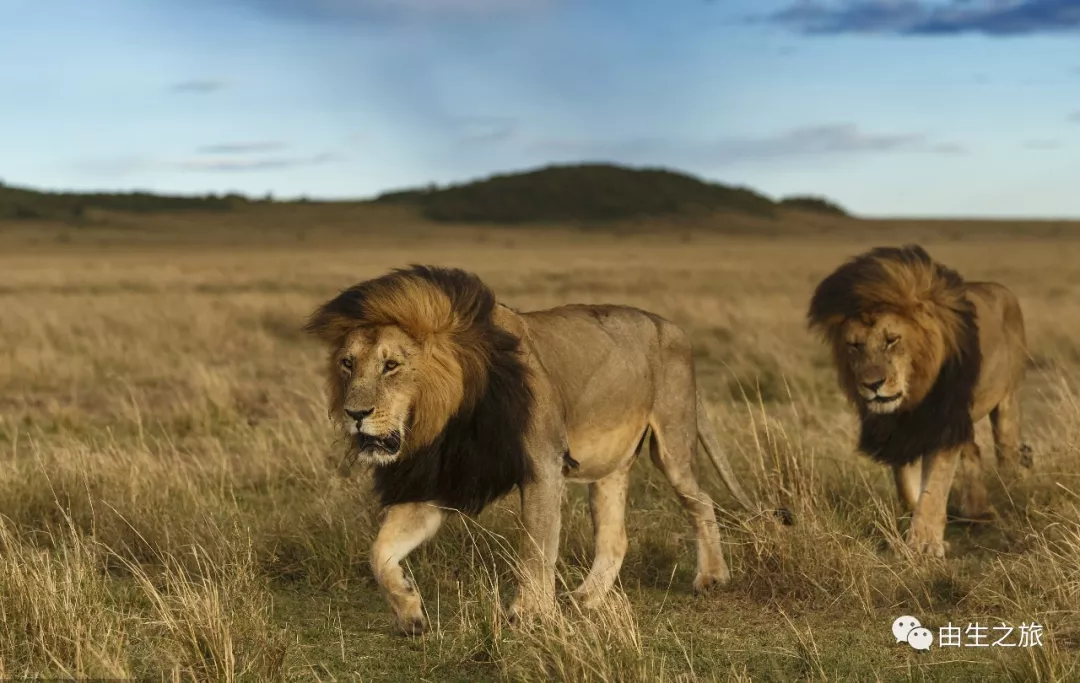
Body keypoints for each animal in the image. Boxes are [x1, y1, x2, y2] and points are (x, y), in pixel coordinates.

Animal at [304, 262, 777, 635]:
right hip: (608, 467)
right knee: (615, 538)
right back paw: (585, 599)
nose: (354, 413)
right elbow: (379, 553)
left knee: (702, 501)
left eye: (391, 365)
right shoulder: (441, 480)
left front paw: (529, 615)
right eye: (347, 363)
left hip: (673, 443)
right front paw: (409, 611)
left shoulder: (544, 467)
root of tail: (674, 327)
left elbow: (534, 549)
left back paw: (711, 578)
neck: (447, 416)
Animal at [812, 243, 1028, 557]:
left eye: (892, 339)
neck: (912, 397)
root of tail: (1002, 290)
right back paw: (978, 512)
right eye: (855, 345)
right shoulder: (901, 431)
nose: (872, 385)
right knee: (973, 450)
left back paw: (1007, 494)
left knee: (1006, 451)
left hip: (1007, 400)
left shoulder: (942, 422)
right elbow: (906, 486)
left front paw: (924, 545)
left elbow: (934, 487)